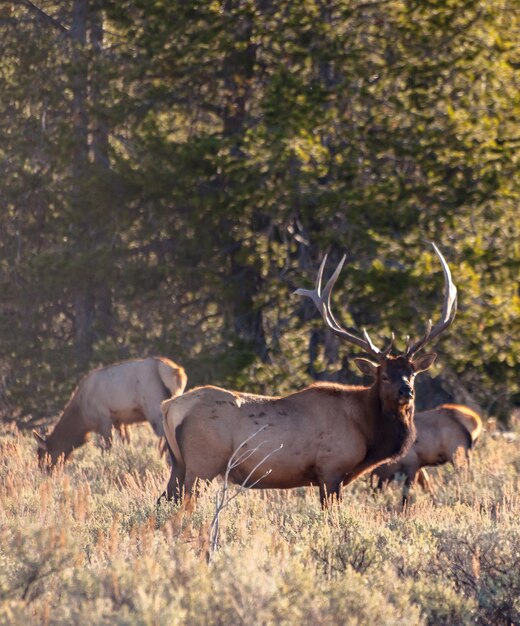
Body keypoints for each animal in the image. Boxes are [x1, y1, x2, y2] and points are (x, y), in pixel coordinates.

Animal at [33, 356, 187, 464]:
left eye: (44, 457)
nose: (46, 474)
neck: (83, 418)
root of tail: (177, 372)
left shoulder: (104, 421)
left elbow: (107, 447)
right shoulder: (121, 421)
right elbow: (127, 442)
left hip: (153, 408)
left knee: (164, 437)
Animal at [161, 241, 456, 504]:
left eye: (412, 373)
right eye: (383, 376)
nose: (406, 391)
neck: (366, 430)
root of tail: (169, 407)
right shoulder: (331, 469)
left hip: (178, 463)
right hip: (203, 463)